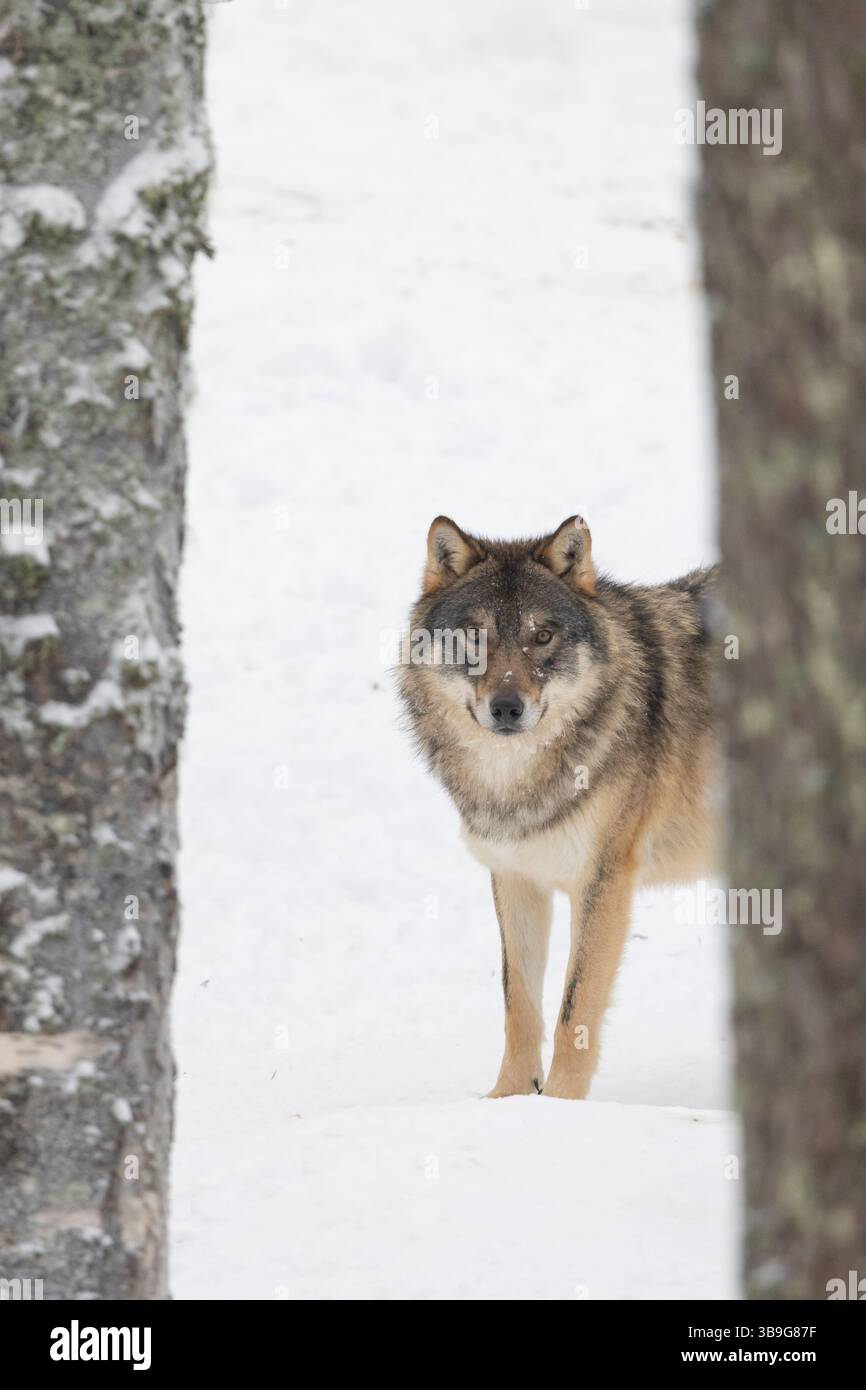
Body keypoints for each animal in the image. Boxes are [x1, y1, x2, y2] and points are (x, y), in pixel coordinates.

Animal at [400, 515, 719, 1099]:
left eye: (542, 636)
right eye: (475, 637)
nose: (506, 708)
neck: (516, 783)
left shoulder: (604, 882)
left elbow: (576, 1009)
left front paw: (563, 1107)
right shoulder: (516, 878)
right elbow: (519, 1005)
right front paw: (508, 1100)